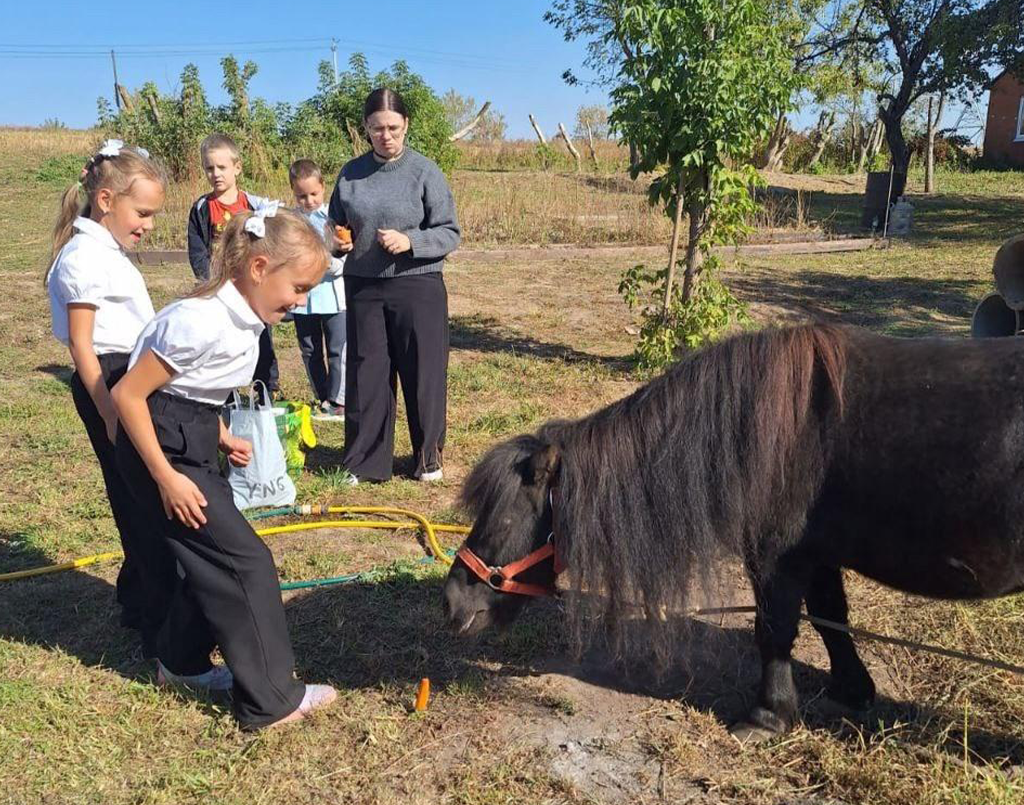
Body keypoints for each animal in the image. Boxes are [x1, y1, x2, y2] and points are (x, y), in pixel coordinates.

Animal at [444, 323, 1024, 737]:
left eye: (506, 517)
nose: (452, 601)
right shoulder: (817, 553)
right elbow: (831, 619)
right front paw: (852, 691)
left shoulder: (777, 558)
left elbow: (775, 631)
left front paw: (768, 718)